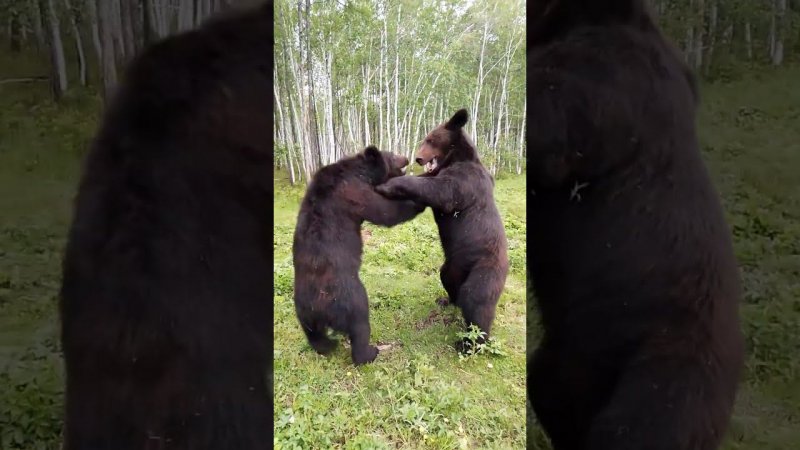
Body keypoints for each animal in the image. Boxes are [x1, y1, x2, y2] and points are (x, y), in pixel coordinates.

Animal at [290, 147, 422, 366]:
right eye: (391, 154)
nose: (406, 157)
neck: (359, 171)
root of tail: (317, 305)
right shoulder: (353, 192)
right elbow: (385, 211)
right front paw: (417, 199)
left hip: (304, 316)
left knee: (316, 337)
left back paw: (328, 345)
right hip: (349, 298)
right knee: (360, 324)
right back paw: (369, 352)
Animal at [376, 109, 512, 352]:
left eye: (431, 139)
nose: (418, 158)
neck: (454, 159)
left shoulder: (466, 181)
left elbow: (441, 191)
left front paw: (388, 185)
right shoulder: (438, 174)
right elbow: (425, 184)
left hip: (486, 270)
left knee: (477, 301)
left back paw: (469, 343)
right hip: (453, 265)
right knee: (447, 278)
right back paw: (447, 300)